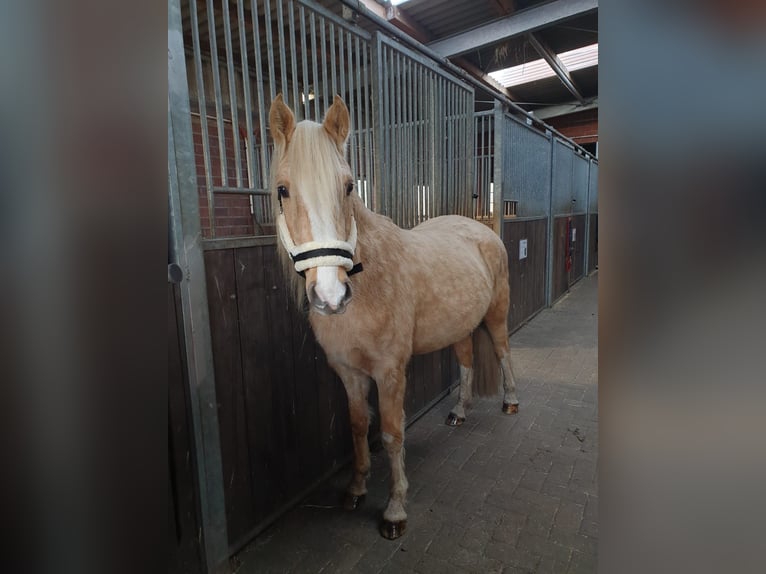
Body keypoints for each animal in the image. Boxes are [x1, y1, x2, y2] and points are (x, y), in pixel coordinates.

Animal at [270, 94, 520, 540]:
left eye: (349, 186)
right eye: (283, 190)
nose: (331, 295)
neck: (369, 283)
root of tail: (482, 230)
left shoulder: (389, 373)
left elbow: (390, 433)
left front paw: (394, 510)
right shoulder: (348, 372)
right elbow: (357, 427)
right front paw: (355, 489)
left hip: (497, 315)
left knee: (504, 352)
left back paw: (510, 402)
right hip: (460, 327)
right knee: (467, 362)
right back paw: (458, 412)